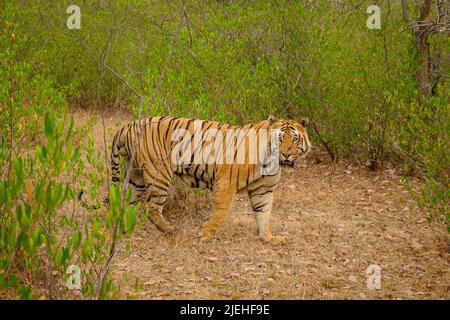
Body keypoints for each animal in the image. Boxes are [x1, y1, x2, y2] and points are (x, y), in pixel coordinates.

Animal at [80, 114, 310, 245]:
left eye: (294, 139)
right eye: (279, 139)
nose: (286, 154)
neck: (271, 161)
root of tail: (128, 124)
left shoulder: (263, 190)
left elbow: (264, 215)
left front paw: (269, 238)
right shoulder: (226, 183)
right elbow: (220, 212)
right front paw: (205, 234)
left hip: (135, 177)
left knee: (122, 202)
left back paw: (118, 227)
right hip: (158, 174)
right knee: (151, 208)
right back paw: (171, 230)